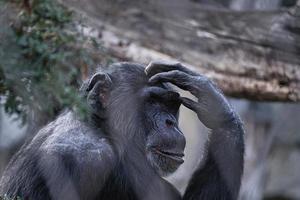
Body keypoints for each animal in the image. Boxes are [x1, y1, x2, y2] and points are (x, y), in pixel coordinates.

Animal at [0, 61, 244, 199]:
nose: (170, 122)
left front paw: (214, 103)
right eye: (152, 101)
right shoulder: (76, 161)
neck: (102, 132)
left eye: (171, 105)